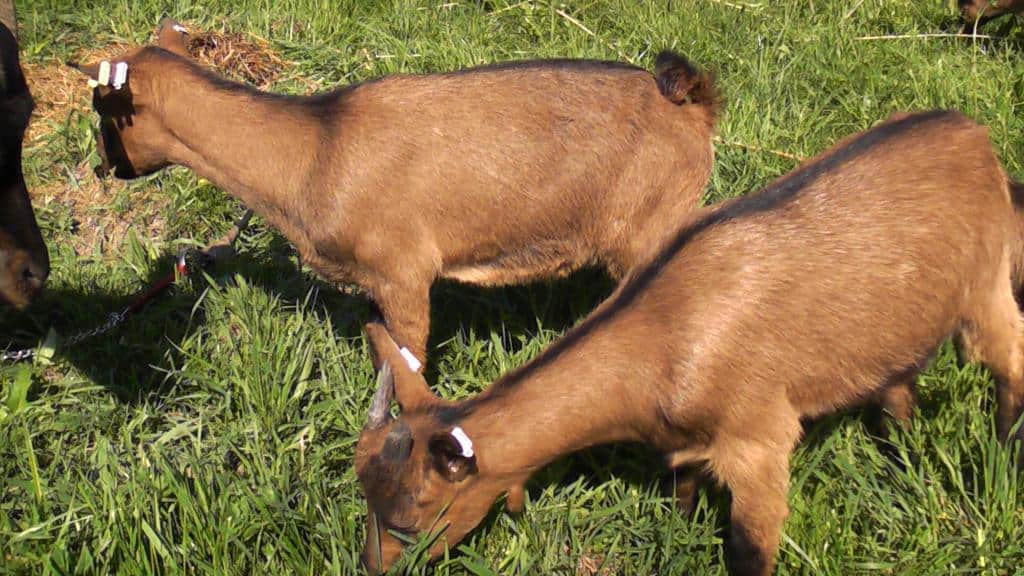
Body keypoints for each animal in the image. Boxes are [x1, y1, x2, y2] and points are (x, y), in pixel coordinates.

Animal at [72, 19, 718, 365]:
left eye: (104, 110)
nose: (107, 168)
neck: (314, 149)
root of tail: (689, 105)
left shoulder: (403, 274)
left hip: (650, 228)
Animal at [354, 110, 1024, 575]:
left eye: (413, 517)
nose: (369, 566)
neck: (660, 340)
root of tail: (974, 136)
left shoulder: (760, 440)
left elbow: (752, 549)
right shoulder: (682, 443)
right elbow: (680, 496)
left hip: (986, 284)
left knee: (1009, 361)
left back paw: (1005, 449)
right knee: (898, 383)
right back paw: (900, 455)